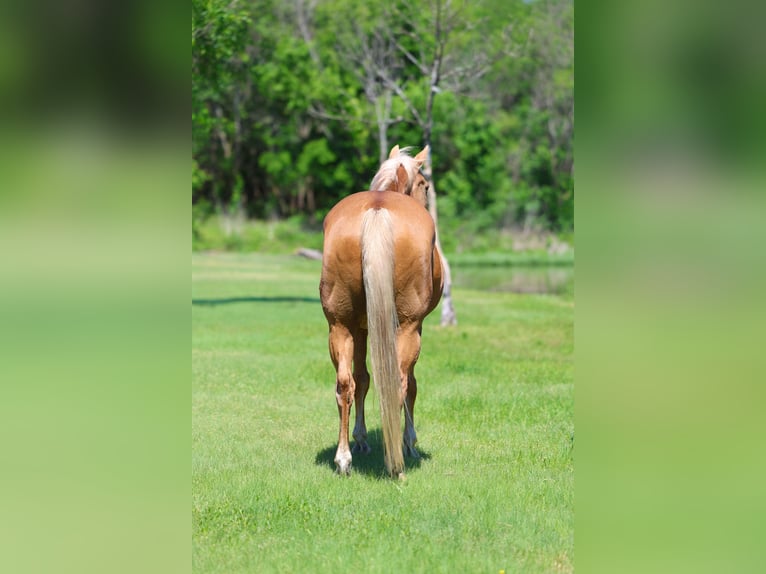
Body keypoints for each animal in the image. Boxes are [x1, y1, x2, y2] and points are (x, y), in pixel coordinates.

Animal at [319, 145, 444, 478]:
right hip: (407, 327)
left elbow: (362, 379)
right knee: (399, 384)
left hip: (340, 325)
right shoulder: (415, 326)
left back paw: (344, 458)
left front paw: (361, 439)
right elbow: (411, 385)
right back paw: (397, 462)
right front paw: (410, 442)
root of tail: (377, 209)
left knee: (344, 384)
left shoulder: (362, 327)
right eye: (425, 185)